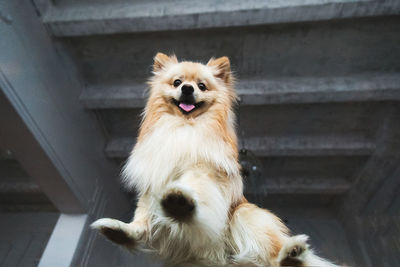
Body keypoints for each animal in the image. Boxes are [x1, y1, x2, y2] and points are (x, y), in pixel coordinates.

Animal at [91, 53, 340, 266]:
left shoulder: (203, 170)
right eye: (177, 82)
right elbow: (143, 216)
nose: (188, 88)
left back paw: (290, 256)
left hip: (245, 215)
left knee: (272, 255)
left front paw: (180, 204)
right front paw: (128, 232)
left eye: (201, 86)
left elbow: (193, 188)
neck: (184, 125)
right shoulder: (153, 181)